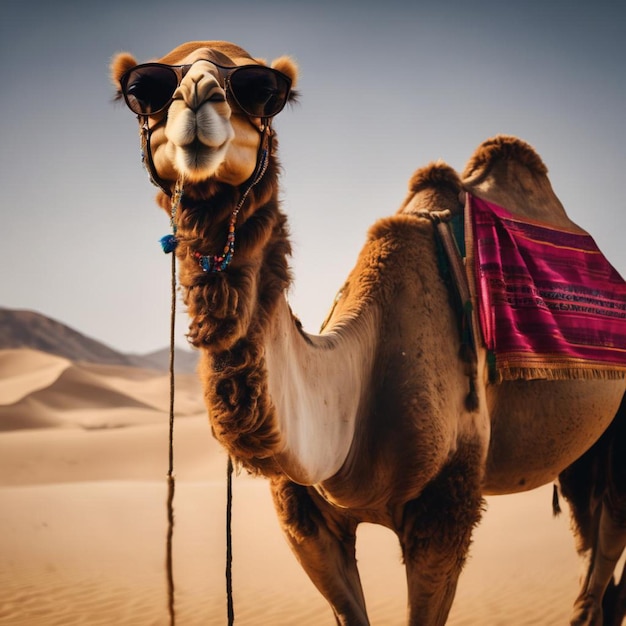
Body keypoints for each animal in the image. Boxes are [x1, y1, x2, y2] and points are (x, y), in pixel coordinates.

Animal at [112, 41, 624, 620]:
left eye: (262, 90)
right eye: (144, 90)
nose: (199, 94)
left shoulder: (445, 510)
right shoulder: (305, 520)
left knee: (606, 545)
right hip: (582, 455)